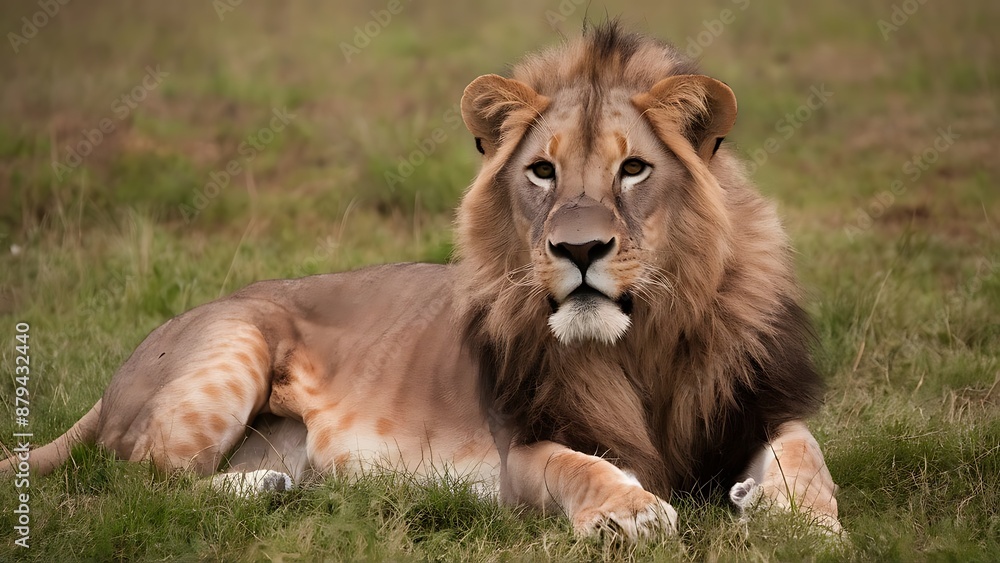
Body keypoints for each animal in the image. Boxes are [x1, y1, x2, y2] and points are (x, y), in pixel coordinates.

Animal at [3, 22, 840, 540]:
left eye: (633, 168)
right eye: (543, 171)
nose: (579, 248)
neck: (641, 341)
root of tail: (117, 378)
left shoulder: (753, 402)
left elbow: (806, 449)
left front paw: (804, 518)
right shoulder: (521, 448)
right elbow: (578, 465)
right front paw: (631, 512)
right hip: (233, 347)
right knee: (132, 487)